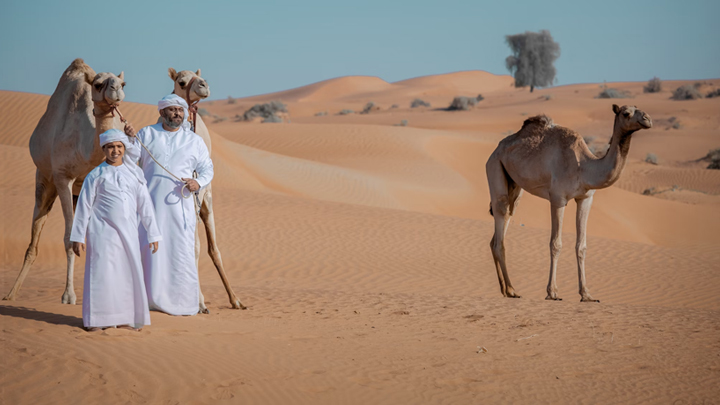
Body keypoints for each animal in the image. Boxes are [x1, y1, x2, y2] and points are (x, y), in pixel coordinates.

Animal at [3, 57, 126, 304]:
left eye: (123, 83)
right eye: (98, 84)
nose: (117, 89)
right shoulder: (62, 177)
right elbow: (70, 239)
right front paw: (68, 296)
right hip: (44, 180)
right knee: (35, 234)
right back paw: (11, 294)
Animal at [165, 68, 245, 310]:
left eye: (200, 76)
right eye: (181, 82)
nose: (203, 85)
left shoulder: (205, 200)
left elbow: (211, 249)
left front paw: (235, 299)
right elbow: (194, 247)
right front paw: (198, 302)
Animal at [486, 103, 648, 300]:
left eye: (640, 110)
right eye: (626, 113)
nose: (647, 119)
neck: (584, 167)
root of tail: (496, 150)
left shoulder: (585, 198)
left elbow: (581, 246)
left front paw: (586, 294)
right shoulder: (558, 198)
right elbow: (555, 244)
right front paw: (552, 292)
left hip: (514, 185)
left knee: (506, 218)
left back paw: (505, 289)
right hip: (494, 166)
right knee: (500, 218)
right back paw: (511, 290)